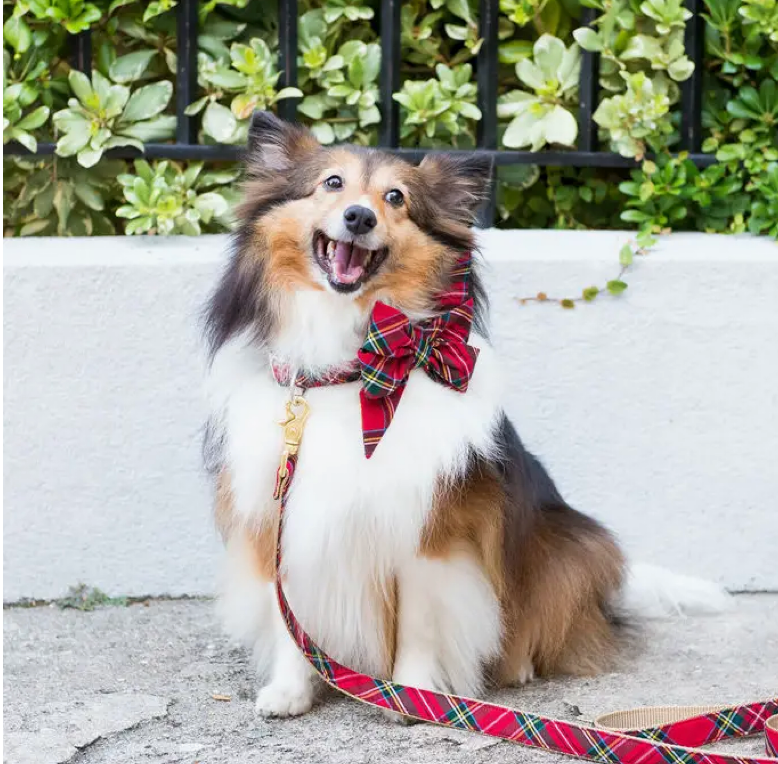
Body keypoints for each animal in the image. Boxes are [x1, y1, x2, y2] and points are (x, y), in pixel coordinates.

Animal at [202, 110, 728, 720]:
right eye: (332, 183)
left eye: (397, 198)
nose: (359, 217)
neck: (354, 369)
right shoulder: (280, 525)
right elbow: (291, 624)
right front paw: (289, 692)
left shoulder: (433, 532)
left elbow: (420, 625)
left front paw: (415, 696)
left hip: (569, 546)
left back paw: (519, 665)